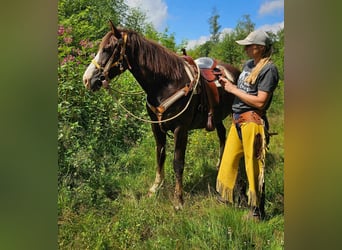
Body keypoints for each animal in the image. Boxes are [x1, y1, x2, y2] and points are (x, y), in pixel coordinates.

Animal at [82, 21, 240, 209]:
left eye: (107, 48)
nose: (87, 79)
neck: (167, 83)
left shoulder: (181, 129)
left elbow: (178, 162)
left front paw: (179, 199)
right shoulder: (156, 127)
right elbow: (160, 155)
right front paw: (155, 188)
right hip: (216, 117)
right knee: (222, 135)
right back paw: (219, 165)